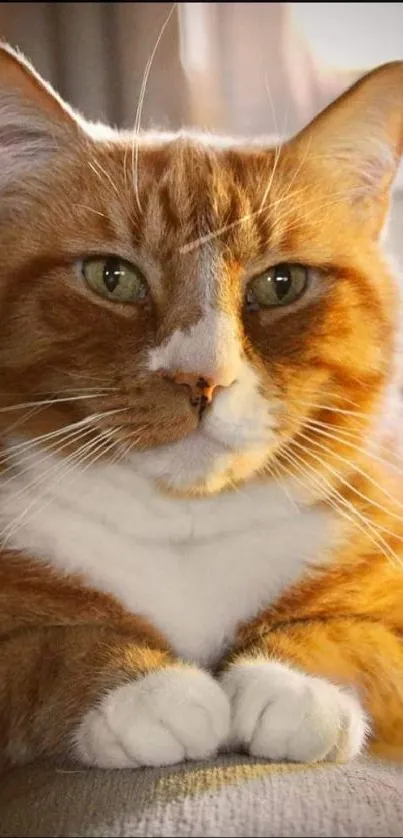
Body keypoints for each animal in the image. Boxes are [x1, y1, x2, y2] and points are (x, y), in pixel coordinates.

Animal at [0, 42, 403, 772]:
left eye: (280, 284)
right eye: (112, 277)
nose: (202, 378)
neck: (185, 528)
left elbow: (358, 639)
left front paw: (290, 680)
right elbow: (43, 648)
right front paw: (145, 687)